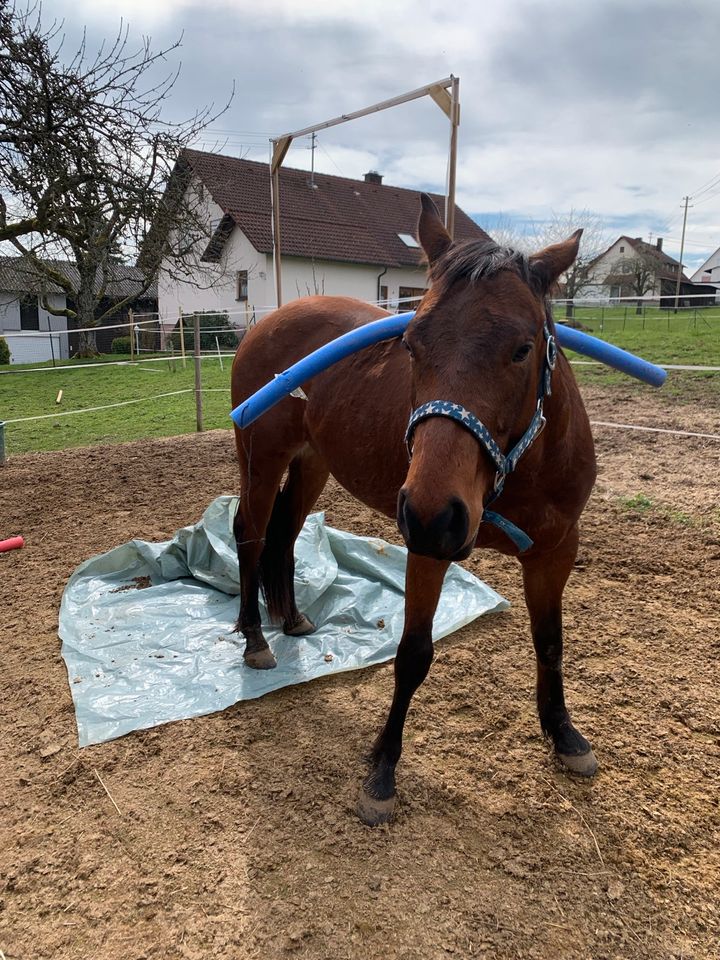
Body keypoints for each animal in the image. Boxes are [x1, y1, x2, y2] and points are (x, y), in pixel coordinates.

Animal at [229, 195, 596, 824]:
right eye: (412, 343)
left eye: (522, 348)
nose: (432, 512)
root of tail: (270, 320)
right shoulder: (427, 548)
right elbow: (413, 654)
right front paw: (382, 770)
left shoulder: (555, 551)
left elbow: (550, 641)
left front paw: (563, 733)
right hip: (262, 463)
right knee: (251, 536)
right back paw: (255, 639)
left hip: (313, 465)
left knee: (285, 535)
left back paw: (293, 618)